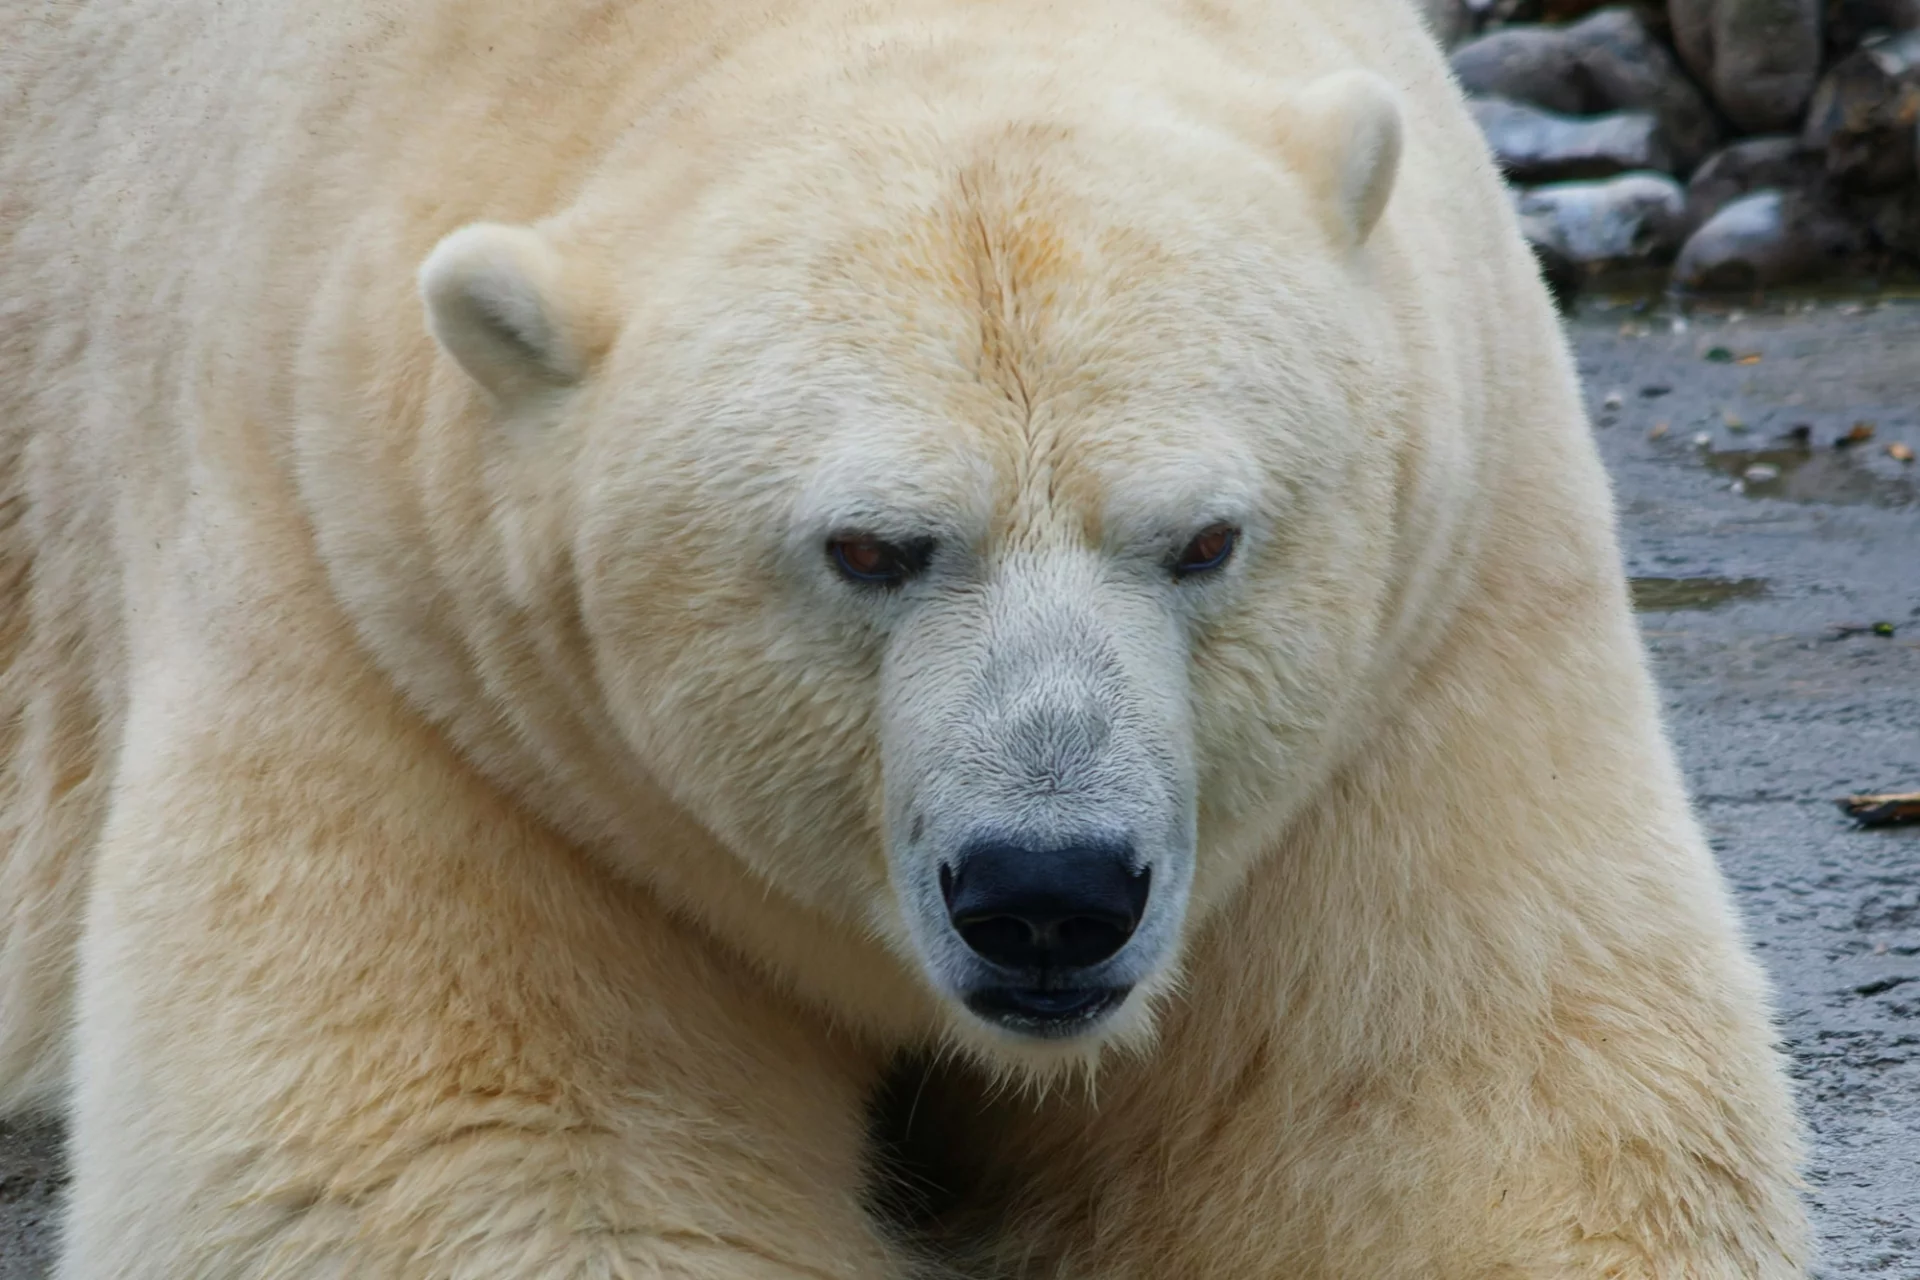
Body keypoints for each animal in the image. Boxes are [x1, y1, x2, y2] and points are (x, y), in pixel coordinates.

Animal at [0, 0, 1809, 1275]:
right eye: (870, 548)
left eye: (1205, 539)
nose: (1047, 893)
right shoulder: (394, 626)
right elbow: (462, 1169)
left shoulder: (1438, 616)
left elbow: (1453, 1118)